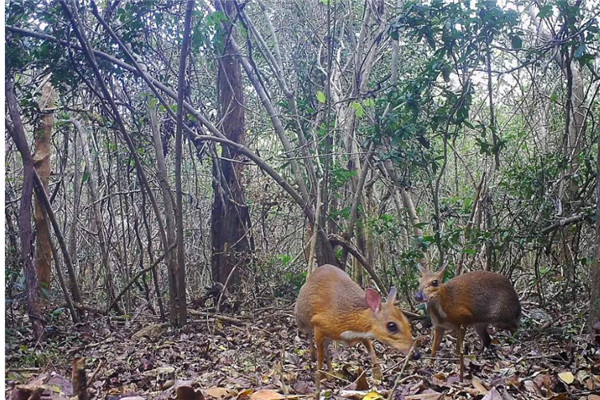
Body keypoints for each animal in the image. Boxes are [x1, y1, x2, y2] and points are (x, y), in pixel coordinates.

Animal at [294, 264, 412, 398]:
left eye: (406, 321)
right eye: (392, 326)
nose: (416, 353)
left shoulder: (363, 334)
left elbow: (372, 352)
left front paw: (378, 375)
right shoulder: (318, 324)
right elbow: (320, 356)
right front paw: (319, 375)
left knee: (326, 348)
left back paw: (331, 373)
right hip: (302, 319)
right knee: (310, 336)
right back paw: (314, 357)